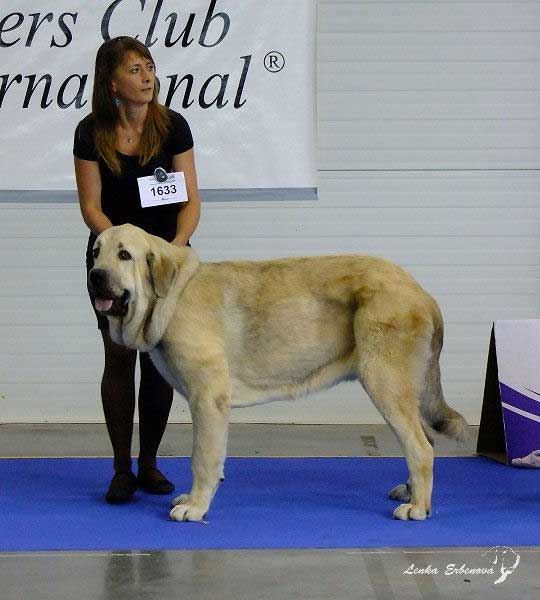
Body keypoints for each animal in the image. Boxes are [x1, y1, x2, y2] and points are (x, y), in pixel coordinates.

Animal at [88, 224, 468, 520]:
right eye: (96, 253)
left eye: (125, 255)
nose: (95, 276)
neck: (168, 297)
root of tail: (422, 293)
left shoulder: (208, 400)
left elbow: (203, 459)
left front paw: (195, 507)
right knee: (425, 440)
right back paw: (410, 491)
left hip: (385, 382)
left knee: (421, 447)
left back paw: (418, 507)